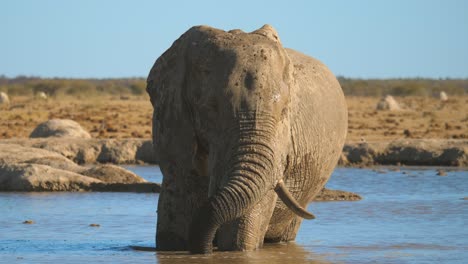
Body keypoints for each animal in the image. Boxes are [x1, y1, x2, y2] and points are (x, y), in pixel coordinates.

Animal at [146, 24, 348, 254]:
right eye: (211, 108)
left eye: (285, 111)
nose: (206, 250)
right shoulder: (172, 126)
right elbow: (174, 216)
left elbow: (237, 241)